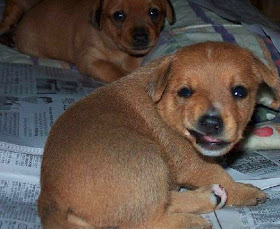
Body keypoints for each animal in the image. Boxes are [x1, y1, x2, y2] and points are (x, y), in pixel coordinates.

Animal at [37, 41, 280, 229]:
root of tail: (49, 195)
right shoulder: (193, 163)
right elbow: (220, 174)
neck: (162, 107)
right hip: (149, 163)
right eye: (185, 92)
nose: (211, 122)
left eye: (240, 92)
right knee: (146, 221)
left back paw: (209, 197)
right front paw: (244, 191)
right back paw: (191, 221)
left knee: (164, 202)